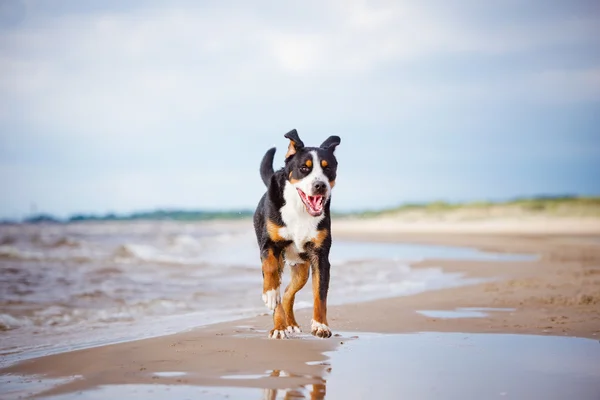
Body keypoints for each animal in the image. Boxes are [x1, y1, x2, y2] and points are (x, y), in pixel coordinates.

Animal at [251, 130, 340, 340]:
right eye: (304, 168)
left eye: (328, 168)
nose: (320, 185)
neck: (300, 210)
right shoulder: (269, 245)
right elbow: (270, 270)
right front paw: (269, 293)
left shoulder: (320, 256)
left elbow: (320, 294)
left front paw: (320, 325)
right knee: (280, 290)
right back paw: (280, 327)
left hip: (302, 269)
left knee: (287, 293)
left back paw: (288, 323)